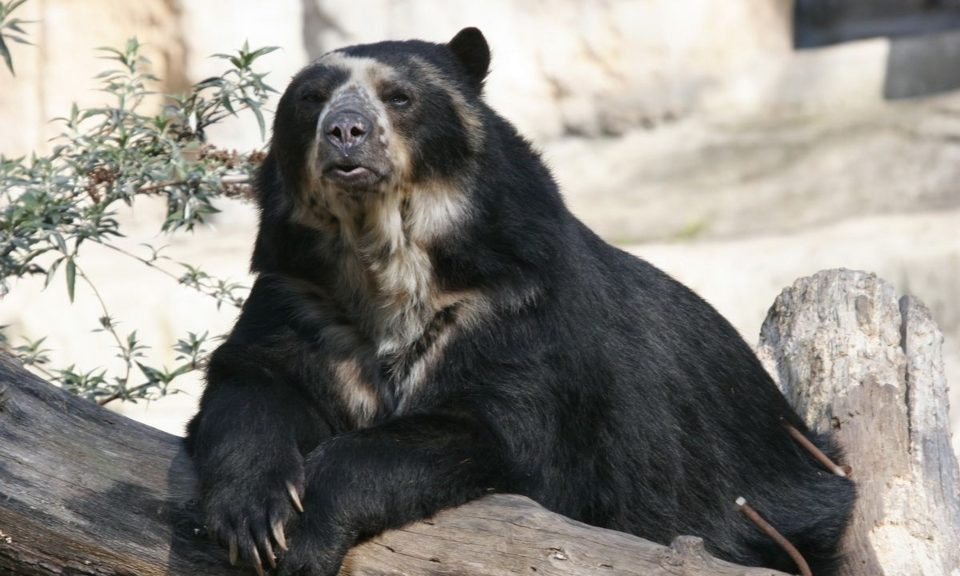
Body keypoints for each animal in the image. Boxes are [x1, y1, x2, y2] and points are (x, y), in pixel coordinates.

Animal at [185, 27, 855, 576]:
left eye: (399, 97)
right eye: (310, 99)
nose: (345, 131)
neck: (385, 261)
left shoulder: (514, 308)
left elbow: (495, 428)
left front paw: (309, 537)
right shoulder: (300, 294)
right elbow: (252, 380)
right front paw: (257, 517)